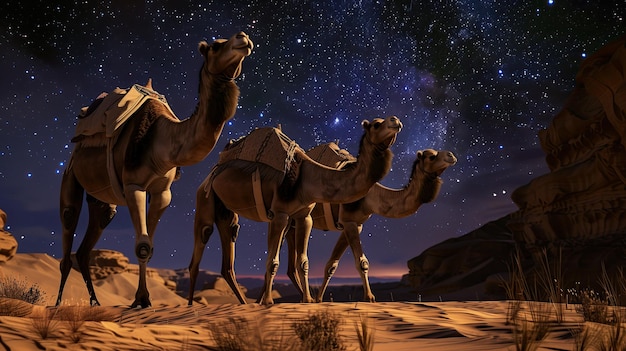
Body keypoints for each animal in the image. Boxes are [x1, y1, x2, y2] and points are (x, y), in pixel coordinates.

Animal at [55, 32, 254, 308]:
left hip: (101, 198)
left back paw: (96, 303)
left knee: (90, 239)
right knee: (68, 221)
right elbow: (142, 246)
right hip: (71, 171)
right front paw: (142, 300)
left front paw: (142, 298)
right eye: (215, 45)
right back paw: (58, 303)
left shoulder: (162, 192)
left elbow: (149, 245)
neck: (161, 142)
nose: (243, 38)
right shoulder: (134, 187)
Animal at [186, 115, 400, 306]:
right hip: (205, 196)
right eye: (376, 124)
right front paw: (270, 301)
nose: (396, 121)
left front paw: (309, 300)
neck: (307, 177)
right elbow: (273, 261)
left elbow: (303, 262)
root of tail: (211, 173)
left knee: (229, 252)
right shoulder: (281, 214)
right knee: (201, 243)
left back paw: (246, 303)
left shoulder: (305, 216)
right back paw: (191, 305)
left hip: (227, 212)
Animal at [286, 148, 456, 302]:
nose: (451, 155)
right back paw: (304, 298)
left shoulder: (355, 224)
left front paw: (319, 299)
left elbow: (331, 265)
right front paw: (369, 297)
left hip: (293, 224)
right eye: (431, 156)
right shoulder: (349, 221)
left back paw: (304, 297)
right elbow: (362, 262)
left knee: (291, 266)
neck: (370, 195)